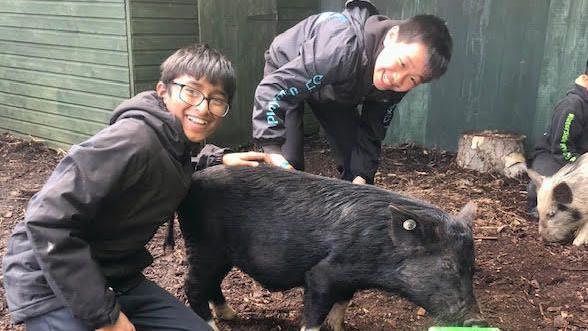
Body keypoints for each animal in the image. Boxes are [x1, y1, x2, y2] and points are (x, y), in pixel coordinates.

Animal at [179, 167, 486, 330]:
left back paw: (231, 315)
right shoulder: (322, 274)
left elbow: (344, 302)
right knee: (192, 286)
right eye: (447, 265)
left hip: (221, 256)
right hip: (204, 247)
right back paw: (213, 325)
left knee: (211, 284)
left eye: (473, 266)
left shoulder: (349, 279)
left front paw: (337, 326)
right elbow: (314, 316)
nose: (477, 320)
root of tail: (193, 179)